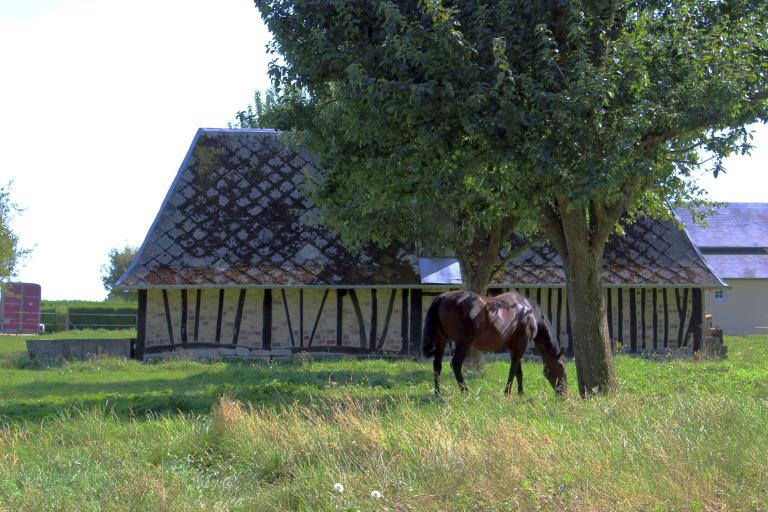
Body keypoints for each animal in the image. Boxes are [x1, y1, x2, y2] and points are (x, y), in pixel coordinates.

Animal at [424, 290, 568, 394]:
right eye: (561, 367)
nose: (564, 394)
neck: (529, 313)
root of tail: (442, 297)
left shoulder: (514, 348)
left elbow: (518, 372)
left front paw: (521, 394)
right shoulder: (521, 346)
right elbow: (513, 371)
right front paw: (508, 392)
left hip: (441, 340)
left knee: (437, 365)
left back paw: (437, 393)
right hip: (463, 343)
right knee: (456, 364)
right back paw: (465, 392)